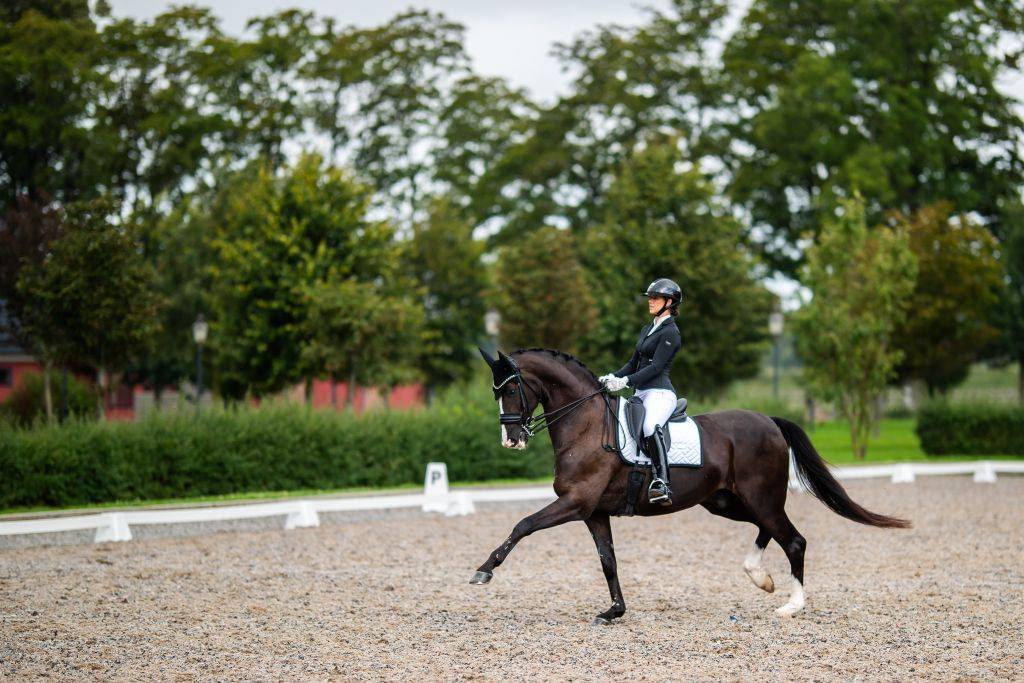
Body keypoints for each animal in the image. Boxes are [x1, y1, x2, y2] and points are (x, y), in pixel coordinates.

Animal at [471, 350, 913, 622]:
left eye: (512, 388)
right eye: (495, 391)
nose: (511, 440)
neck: (586, 424)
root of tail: (768, 421)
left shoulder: (575, 502)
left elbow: (523, 525)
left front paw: (484, 571)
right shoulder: (593, 512)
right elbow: (608, 561)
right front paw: (615, 611)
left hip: (760, 496)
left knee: (793, 540)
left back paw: (792, 606)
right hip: (725, 501)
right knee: (768, 530)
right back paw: (760, 578)